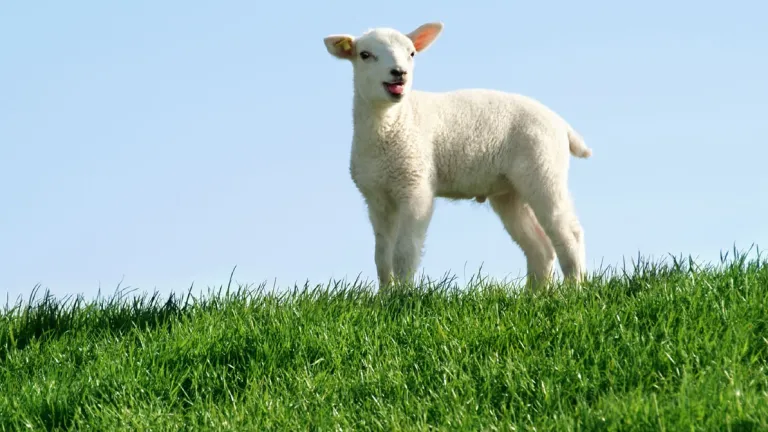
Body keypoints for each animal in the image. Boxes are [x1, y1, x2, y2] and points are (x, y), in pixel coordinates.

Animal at [323, 22, 593, 290]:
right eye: (365, 55)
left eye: (412, 53)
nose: (399, 73)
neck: (393, 123)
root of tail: (561, 124)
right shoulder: (376, 197)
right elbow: (381, 254)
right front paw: (386, 294)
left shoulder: (416, 187)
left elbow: (405, 251)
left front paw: (404, 293)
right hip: (510, 191)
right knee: (540, 246)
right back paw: (535, 294)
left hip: (543, 167)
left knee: (568, 231)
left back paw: (574, 287)